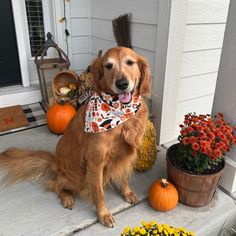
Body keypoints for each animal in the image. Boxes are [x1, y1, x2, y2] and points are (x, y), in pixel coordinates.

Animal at [0, 47, 151, 227]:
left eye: (130, 62)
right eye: (108, 66)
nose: (122, 84)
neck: (120, 113)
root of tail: (56, 163)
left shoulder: (127, 153)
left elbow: (124, 176)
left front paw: (127, 192)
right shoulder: (95, 163)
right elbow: (99, 193)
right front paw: (103, 214)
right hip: (78, 178)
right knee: (55, 184)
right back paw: (66, 197)